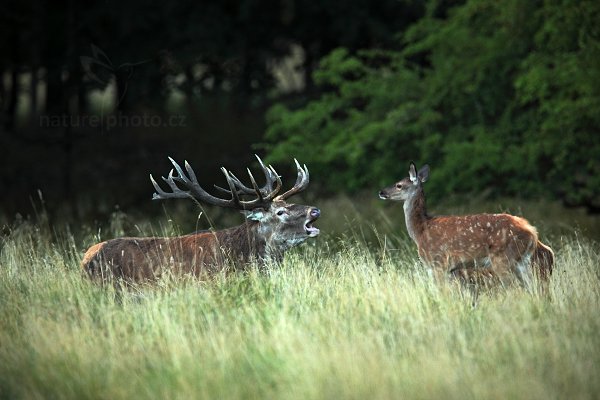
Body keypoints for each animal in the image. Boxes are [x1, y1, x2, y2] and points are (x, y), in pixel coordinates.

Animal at [380, 162, 552, 288]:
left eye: (399, 185)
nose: (381, 192)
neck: (421, 230)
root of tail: (532, 233)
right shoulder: (452, 269)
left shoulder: (438, 262)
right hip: (522, 261)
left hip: (504, 258)